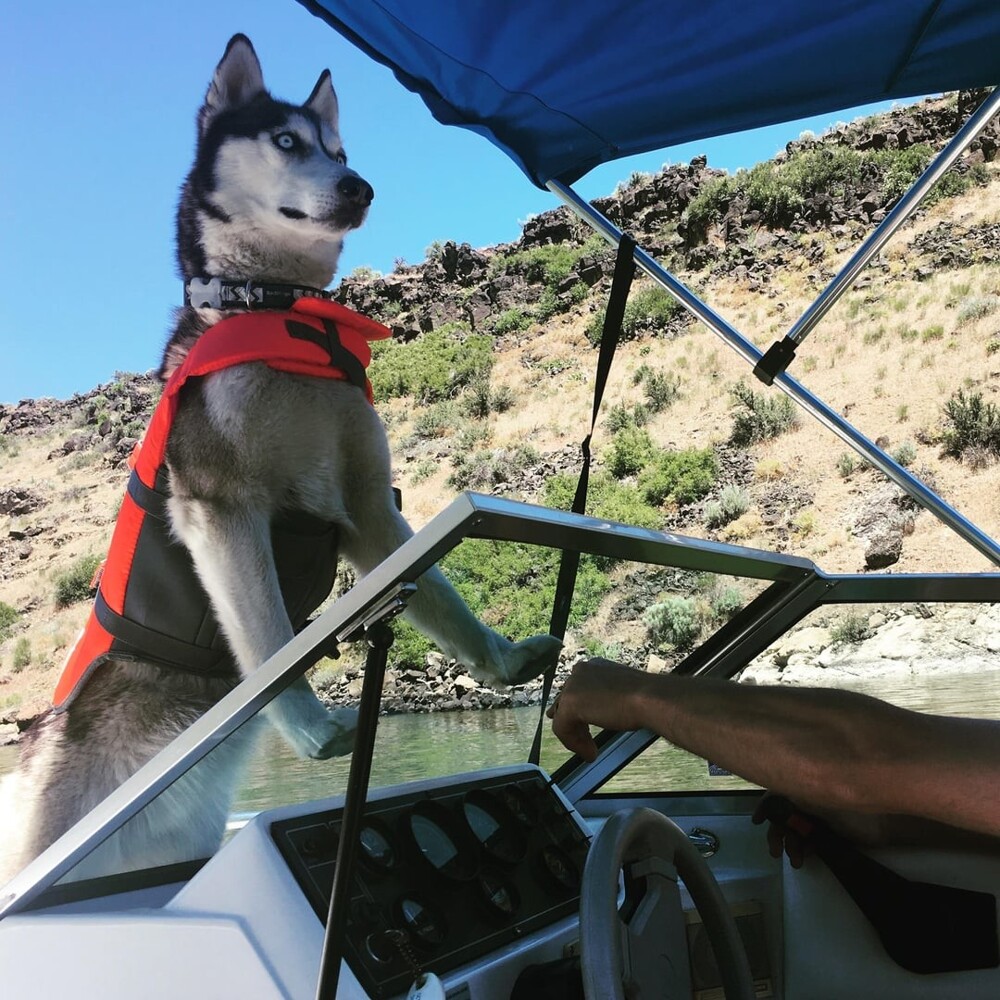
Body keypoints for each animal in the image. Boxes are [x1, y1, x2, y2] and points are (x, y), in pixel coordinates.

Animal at [0, 37, 560, 884]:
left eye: (341, 150)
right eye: (287, 141)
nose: (360, 186)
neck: (283, 315)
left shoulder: (368, 508)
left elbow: (441, 597)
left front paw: (504, 660)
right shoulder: (220, 508)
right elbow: (270, 643)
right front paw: (311, 728)